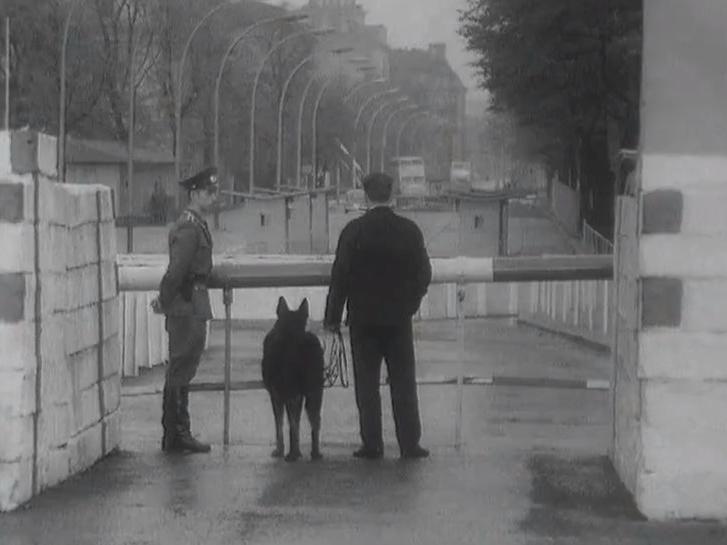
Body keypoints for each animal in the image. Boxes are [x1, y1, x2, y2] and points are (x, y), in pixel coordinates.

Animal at [262, 298, 324, 460]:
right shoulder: (298, 394)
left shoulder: (277, 395)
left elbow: (280, 425)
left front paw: (281, 450)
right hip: (315, 390)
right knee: (315, 420)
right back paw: (315, 452)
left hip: (293, 389)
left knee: (294, 424)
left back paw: (293, 454)